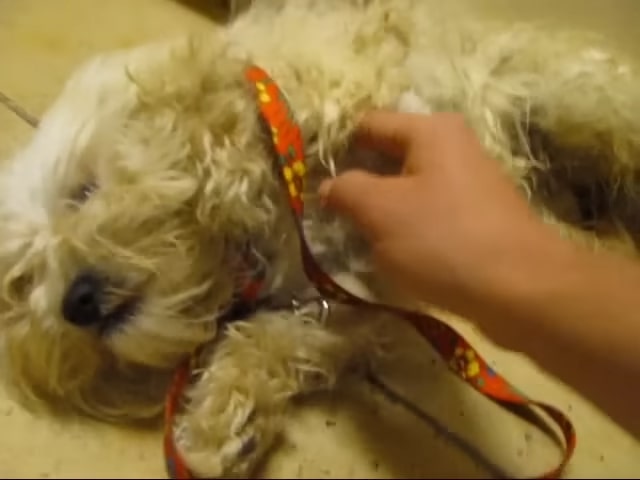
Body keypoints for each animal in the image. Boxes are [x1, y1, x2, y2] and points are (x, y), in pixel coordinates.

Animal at [1, 0, 640, 476]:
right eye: (27, 278)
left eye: (84, 191)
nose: (75, 303)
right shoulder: (351, 290)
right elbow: (276, 339)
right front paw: (220, 425)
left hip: (577, 96)